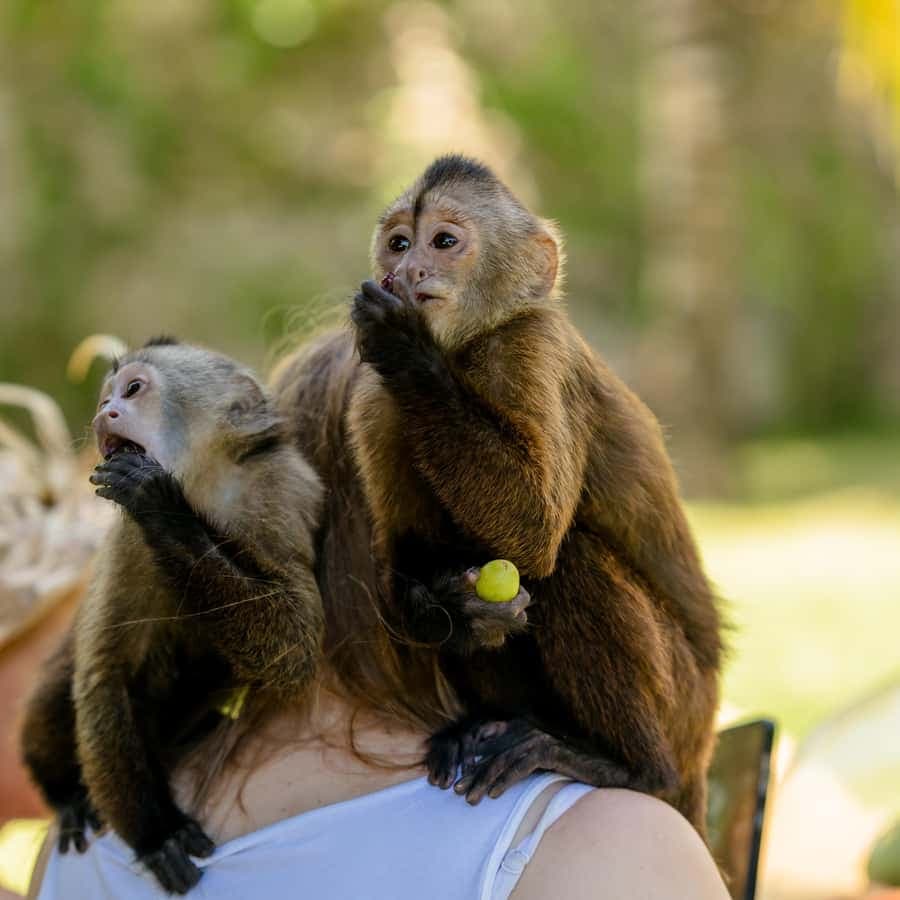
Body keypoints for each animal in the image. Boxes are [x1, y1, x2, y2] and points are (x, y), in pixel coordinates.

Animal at [20, 338, 324, 894]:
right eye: (105, 397)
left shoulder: (286, 494)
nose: (104, 412)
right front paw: (157, 833)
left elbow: (292, 654)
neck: (202, 487)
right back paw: (68, 796)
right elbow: (104, 677)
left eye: (133, 390)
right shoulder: (124, 541)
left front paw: (163, 510)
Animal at [275, 155, 722, 834]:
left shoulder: (531, 347)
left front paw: (408, 348)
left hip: (685, 708)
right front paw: (456, 610)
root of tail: (700, 754)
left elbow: (533, 529)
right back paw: (482, 722)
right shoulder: (373, 403)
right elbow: (409, 557)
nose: (408, 271)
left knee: (571, 563)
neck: (464, 354)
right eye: (399, 243)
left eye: (443, 242)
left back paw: (633, 768)